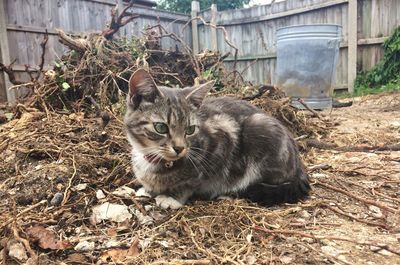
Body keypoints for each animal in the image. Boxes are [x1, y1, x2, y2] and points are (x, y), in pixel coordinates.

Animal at [124, 68, 310, 208]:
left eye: (190, 129)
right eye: (161, 127)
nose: (179, 148)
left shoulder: (224, 137)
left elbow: (193, 180)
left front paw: (172, 197)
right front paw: (147, 189)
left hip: (260, 128)